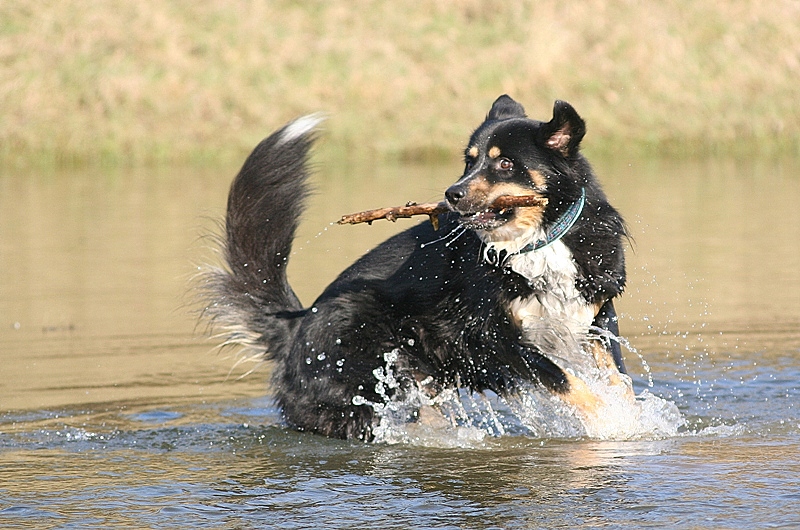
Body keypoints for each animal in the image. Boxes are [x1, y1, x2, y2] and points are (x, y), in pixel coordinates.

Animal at [203, 94, 628, 438]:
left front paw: (629, 418)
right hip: (367, 389)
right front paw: (609, 421)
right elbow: (564, 379)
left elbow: (617, 379)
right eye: (469, 161)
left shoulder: (596, 315)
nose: (452, 194)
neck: (537, 242)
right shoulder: (490, 337)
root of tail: (296, 326)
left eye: (506, 163)